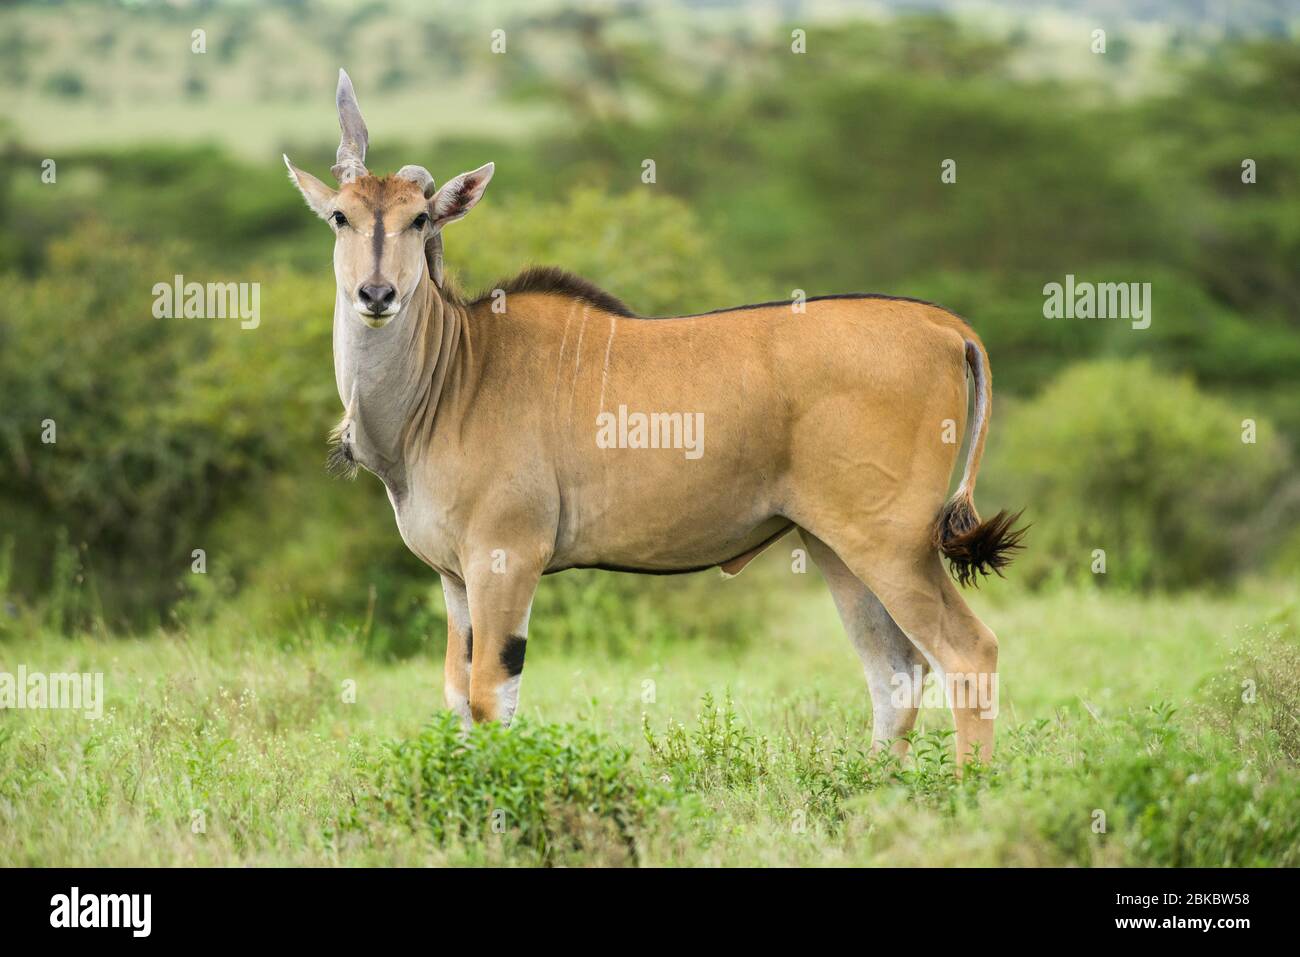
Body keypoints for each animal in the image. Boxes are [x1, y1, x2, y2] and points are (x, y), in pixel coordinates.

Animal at [287, 70, 1024, 764]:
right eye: (340, 218)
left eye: (418, 219)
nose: (376, 294)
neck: (454, 375)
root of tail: (945, 327)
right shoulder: (454, 578)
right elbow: (457, 699)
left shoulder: (506, 559)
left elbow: (491, 698)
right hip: (835, 546)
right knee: (895, 672)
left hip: (892, 543)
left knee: (969, 653)